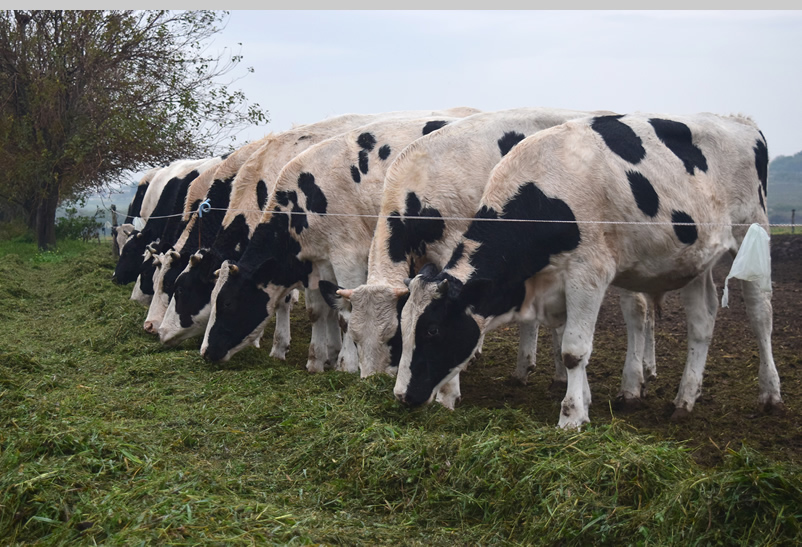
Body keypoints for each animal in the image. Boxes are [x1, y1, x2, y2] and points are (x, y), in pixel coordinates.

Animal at [316, 107, 652, 408]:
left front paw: (449, 390)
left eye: (393, 338)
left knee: (637, 309)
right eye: (355, 338)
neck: (418, 187)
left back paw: (634, 382)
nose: (371, 381)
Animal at [394, 112, 780, 428]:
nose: (401, 395)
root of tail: (742, 121)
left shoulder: (588, 273)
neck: (542, 198)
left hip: (753, 232)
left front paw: (572, 416)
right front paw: (586, 400)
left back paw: (770, 394)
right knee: (702, 323)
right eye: (404, 327)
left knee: (761, 313)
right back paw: (684, 400)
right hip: (696, 260)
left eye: (432, 330)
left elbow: (574, 350)